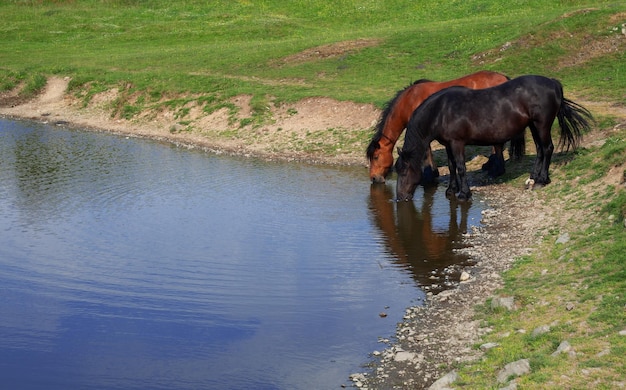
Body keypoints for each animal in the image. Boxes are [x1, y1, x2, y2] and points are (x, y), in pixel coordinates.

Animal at [364, 70, 524, 183]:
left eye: (376, 157)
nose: (374, 178)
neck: (409, 102)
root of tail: (503, 78)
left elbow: (427, 153)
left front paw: (428, 176)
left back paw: (494, 168)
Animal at [394, 74, 588, 201]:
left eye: (403, 171)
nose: (400, 197)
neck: (441, 111)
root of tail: (553, 83)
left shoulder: (457, 143)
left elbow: (461, 167)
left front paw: (464, 193)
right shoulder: (449, 144)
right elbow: (451, 166)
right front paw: (451, 189)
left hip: (542, 125)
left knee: (547, 148)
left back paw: (541, 180)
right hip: (533, 125)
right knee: (540, 149)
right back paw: (533, 177)